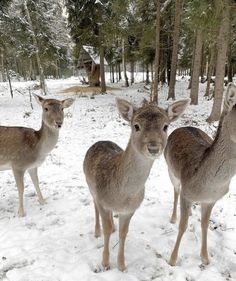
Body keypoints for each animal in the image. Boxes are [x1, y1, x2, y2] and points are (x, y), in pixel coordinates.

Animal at [83, 97, 190, 270]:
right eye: (136, 126)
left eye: (165, 126)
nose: (153, 148)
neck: (123, 195)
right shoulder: (102, 201)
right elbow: (106, 229)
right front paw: (105, 263)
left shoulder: (131, 209)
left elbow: (123, 232)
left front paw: (121, 265)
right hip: (90, 186)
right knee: (94, 206)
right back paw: (97, 231)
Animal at [164, 82, 236, 264]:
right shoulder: (186, 190)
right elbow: (183, 226)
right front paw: (172, 259)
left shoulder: (211, 200)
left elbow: (205, 225)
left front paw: (205, 258)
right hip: (170, 170)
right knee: (176, 191)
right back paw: (173, 217)